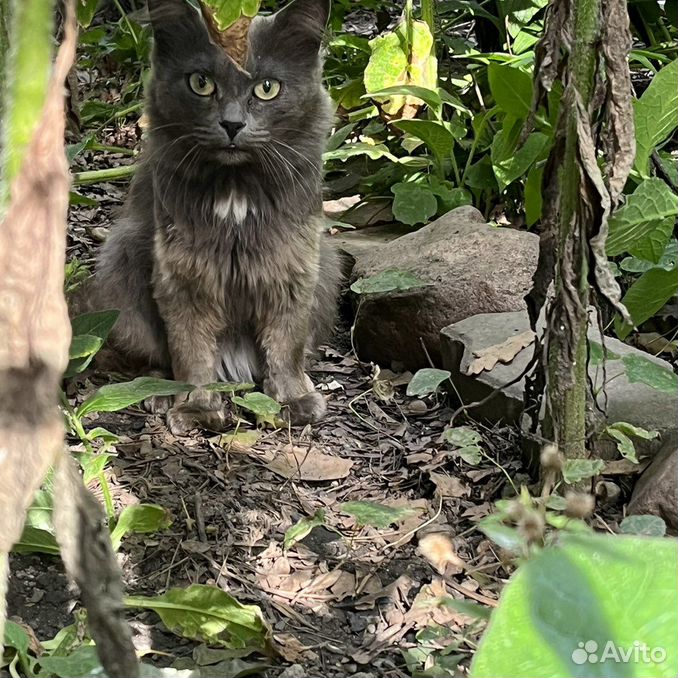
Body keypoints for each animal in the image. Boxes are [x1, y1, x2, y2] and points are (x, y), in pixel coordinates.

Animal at [91, 0, 340, 436]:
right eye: (201, 83)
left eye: (267, 88)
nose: (232, 124)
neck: (235, 190)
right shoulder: (182, 274)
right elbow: (190, 350)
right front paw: (196, 407)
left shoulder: (293, 265)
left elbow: (286, 341)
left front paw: (293, 399)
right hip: (123, 261)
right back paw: (159, 394)